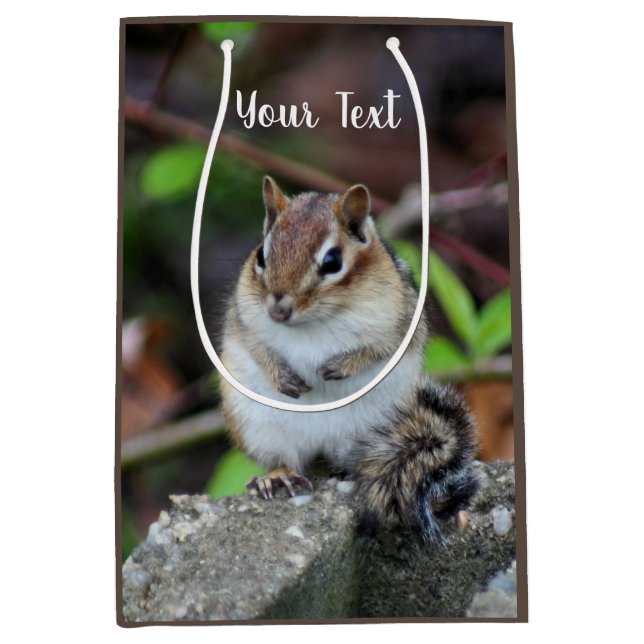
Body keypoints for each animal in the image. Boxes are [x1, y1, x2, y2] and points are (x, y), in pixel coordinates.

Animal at [218, 176, 479, 544]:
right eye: (261, 256)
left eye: (332, 262)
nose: (278, 310)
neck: (313, 323)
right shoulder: (243, 319)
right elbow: (258, 348)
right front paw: (282, 375)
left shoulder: (399, 322)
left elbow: (380, 347)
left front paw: (340, 366)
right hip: (259, 427)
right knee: (286, 458)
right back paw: (278, 476)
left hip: (379, 429)